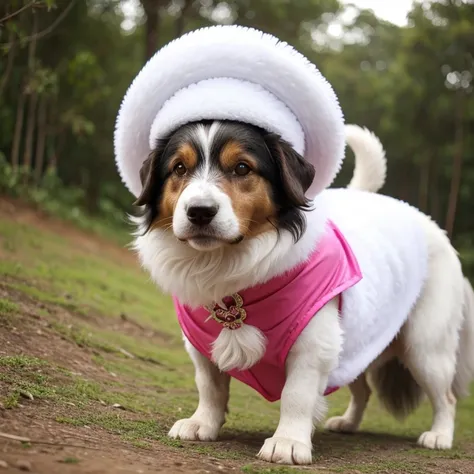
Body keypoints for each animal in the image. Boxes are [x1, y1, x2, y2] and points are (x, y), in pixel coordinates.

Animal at [131, 120, 474, 464]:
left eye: (242, 168)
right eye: (179, 168)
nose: (200, 212)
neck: (229, 272)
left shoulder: (313, 346)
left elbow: (297, 394)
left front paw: (288, 441)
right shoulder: (200, 346)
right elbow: (210, 385)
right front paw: (203, 423)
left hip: (426, 347)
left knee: (446, 396)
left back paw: (440, 435)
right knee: (363, 389)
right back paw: (349, 422)